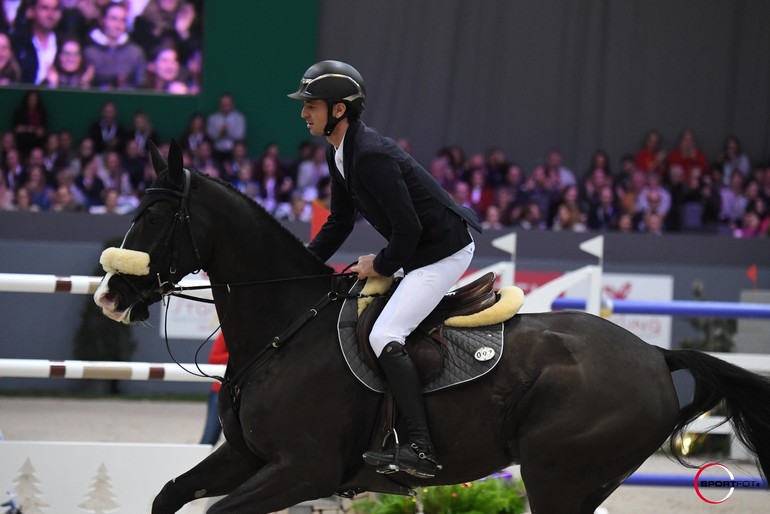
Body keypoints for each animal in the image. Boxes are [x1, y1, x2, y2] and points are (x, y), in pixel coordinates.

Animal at [94, 140, 768, 512]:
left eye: (154, 215)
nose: (109, 295)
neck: (286, 327)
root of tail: (655, 356)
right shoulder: (243, 456)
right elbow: (168, 496)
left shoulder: (301, 470)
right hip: (581, 482)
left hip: (557, 474)